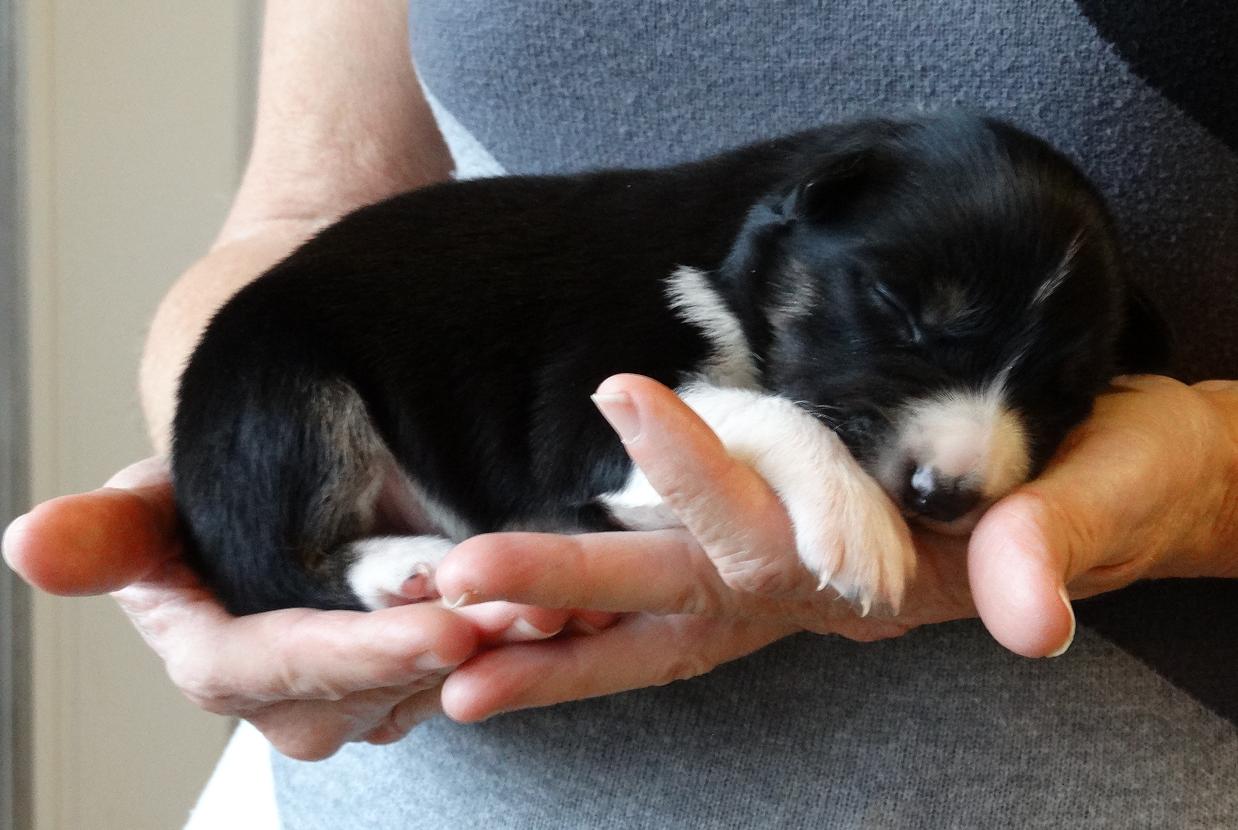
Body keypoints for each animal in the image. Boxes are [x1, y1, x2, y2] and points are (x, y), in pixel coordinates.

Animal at [171, 112, 1168, 617]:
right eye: (903, 313)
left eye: (1065, 392)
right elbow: (767, 408)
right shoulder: (590, 406)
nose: (944, 495)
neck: (735, 253)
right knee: (269, 569)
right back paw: (404, 566)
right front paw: (859, 524)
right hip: (285, 396)